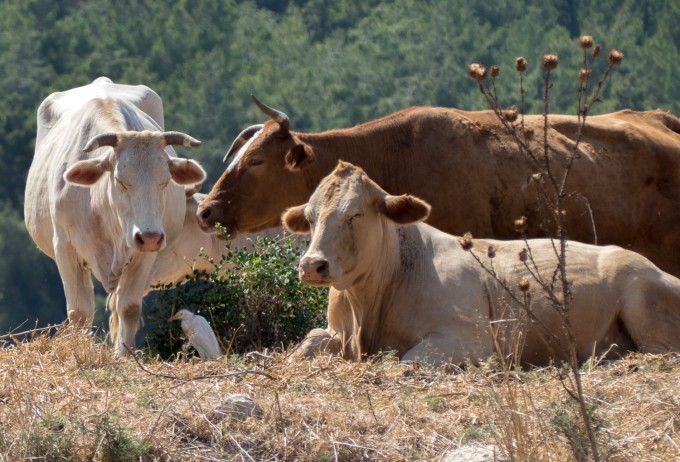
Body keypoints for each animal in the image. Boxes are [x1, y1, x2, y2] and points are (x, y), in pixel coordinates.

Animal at [25, 77, 206, 356]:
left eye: (165, 181)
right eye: (120, 180)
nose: (149, 235)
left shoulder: (145, 253)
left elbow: (128, 307)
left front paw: (124, 354)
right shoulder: (65, 248)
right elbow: (79, 312)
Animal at [280, 162, 680, 368]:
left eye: (355, 215)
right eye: (311, 218)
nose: (312, 265)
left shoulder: (468, 339)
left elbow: (408, 361)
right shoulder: (336, 332)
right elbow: (308, 342)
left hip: (643, 305)